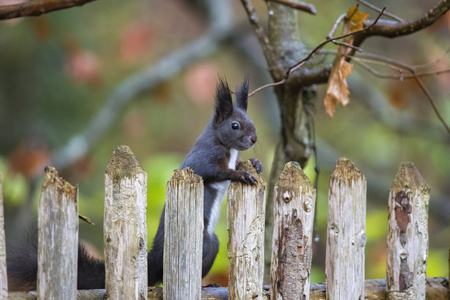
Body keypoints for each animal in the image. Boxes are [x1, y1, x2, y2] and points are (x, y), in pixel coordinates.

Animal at [6, 77, 264, 290]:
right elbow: (212, 171)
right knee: (165, 277)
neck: (224, 144)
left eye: (251, 120)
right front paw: (241, 174)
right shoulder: (201, 158)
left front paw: (255, 163)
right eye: (234, 125)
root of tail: (154, 258)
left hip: (212, 244)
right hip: (202, 243)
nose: (254, 139)